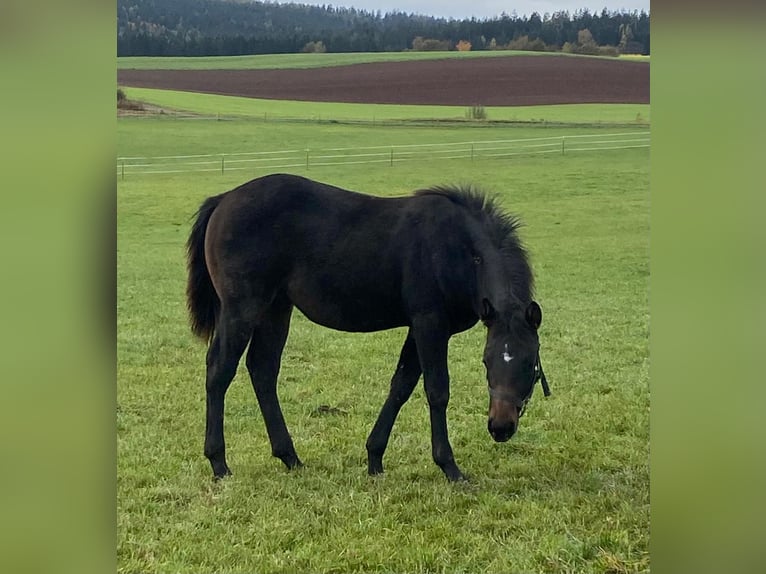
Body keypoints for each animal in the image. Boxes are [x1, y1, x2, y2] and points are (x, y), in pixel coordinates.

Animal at [186, 173, 548, 484]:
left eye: (531, 363)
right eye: (486, 361)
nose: (500, 427)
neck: (457, 249)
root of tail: (224, 199)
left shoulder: (419, 328)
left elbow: (401, 385)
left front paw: (374, 458)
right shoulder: (430, 323)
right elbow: (437, 390)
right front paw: (450, 467)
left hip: (276, 308)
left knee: (263, 369)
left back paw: (290, 457)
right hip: (241, 308)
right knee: (220, 370)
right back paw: (219, 462)